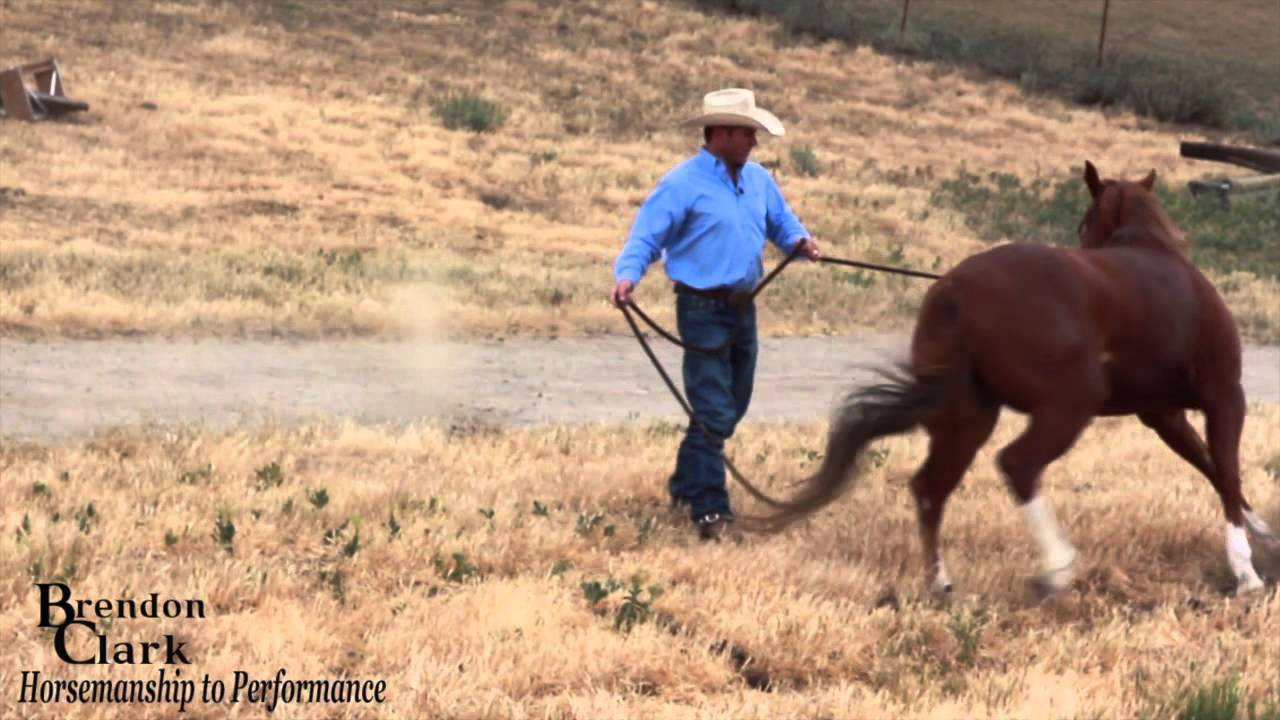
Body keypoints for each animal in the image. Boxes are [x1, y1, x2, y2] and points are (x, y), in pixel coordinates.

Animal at [741, 160, 1278, 597]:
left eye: (1084, 223)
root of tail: (956, 290)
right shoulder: (1224, 397)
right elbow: (1226, 470)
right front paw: (1247, 571)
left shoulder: (1164, 415)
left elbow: (1212, 468)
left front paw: (1264, 535)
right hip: (1066, 407)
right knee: (1017, 465)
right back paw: (1056, 569)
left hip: (967, 416)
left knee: (931, 487)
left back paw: (941, 583)